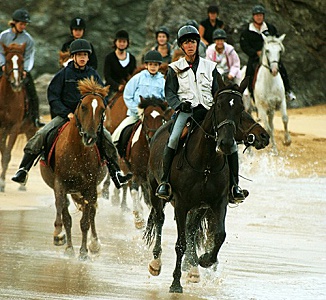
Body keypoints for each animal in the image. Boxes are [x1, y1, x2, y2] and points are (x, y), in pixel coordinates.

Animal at [40, 77, 109, 260]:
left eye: (102, 109)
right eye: (83, 106)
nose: (90, 137)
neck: (77, 152)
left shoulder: (89, 186)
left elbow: (85, 221)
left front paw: (84, 251)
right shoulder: (60, 183)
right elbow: (64, 214)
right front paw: (60, 237)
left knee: (91, 213)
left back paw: (94, 244)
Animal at [144, 76, 268, 292]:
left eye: (241, 109)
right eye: (218, 105)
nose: (226, 143)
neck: (206, 163)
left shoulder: (218, 203)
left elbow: (219, 235)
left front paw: (205, 260)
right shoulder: (182, 204)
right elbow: (180, 244)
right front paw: (175, 283)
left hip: (199, 207)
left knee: (192, 229)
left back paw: (193, 268)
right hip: (155, 192)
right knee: (160, 220)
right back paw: (156, 263)